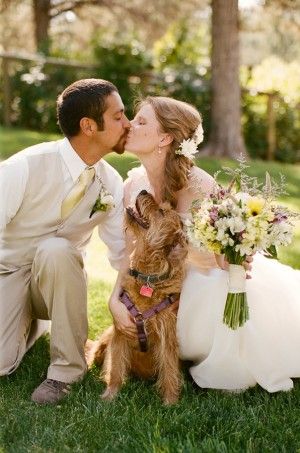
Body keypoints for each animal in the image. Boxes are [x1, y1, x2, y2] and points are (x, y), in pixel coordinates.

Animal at [91, 189, 188, 404]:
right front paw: (110, 396)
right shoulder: (119, 333)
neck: (148, 277)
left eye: (161, 211)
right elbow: (115, 369)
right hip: (104, 340)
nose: (143, 190)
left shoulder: (167, 336)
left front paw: (170, 402)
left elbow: (169, 370)